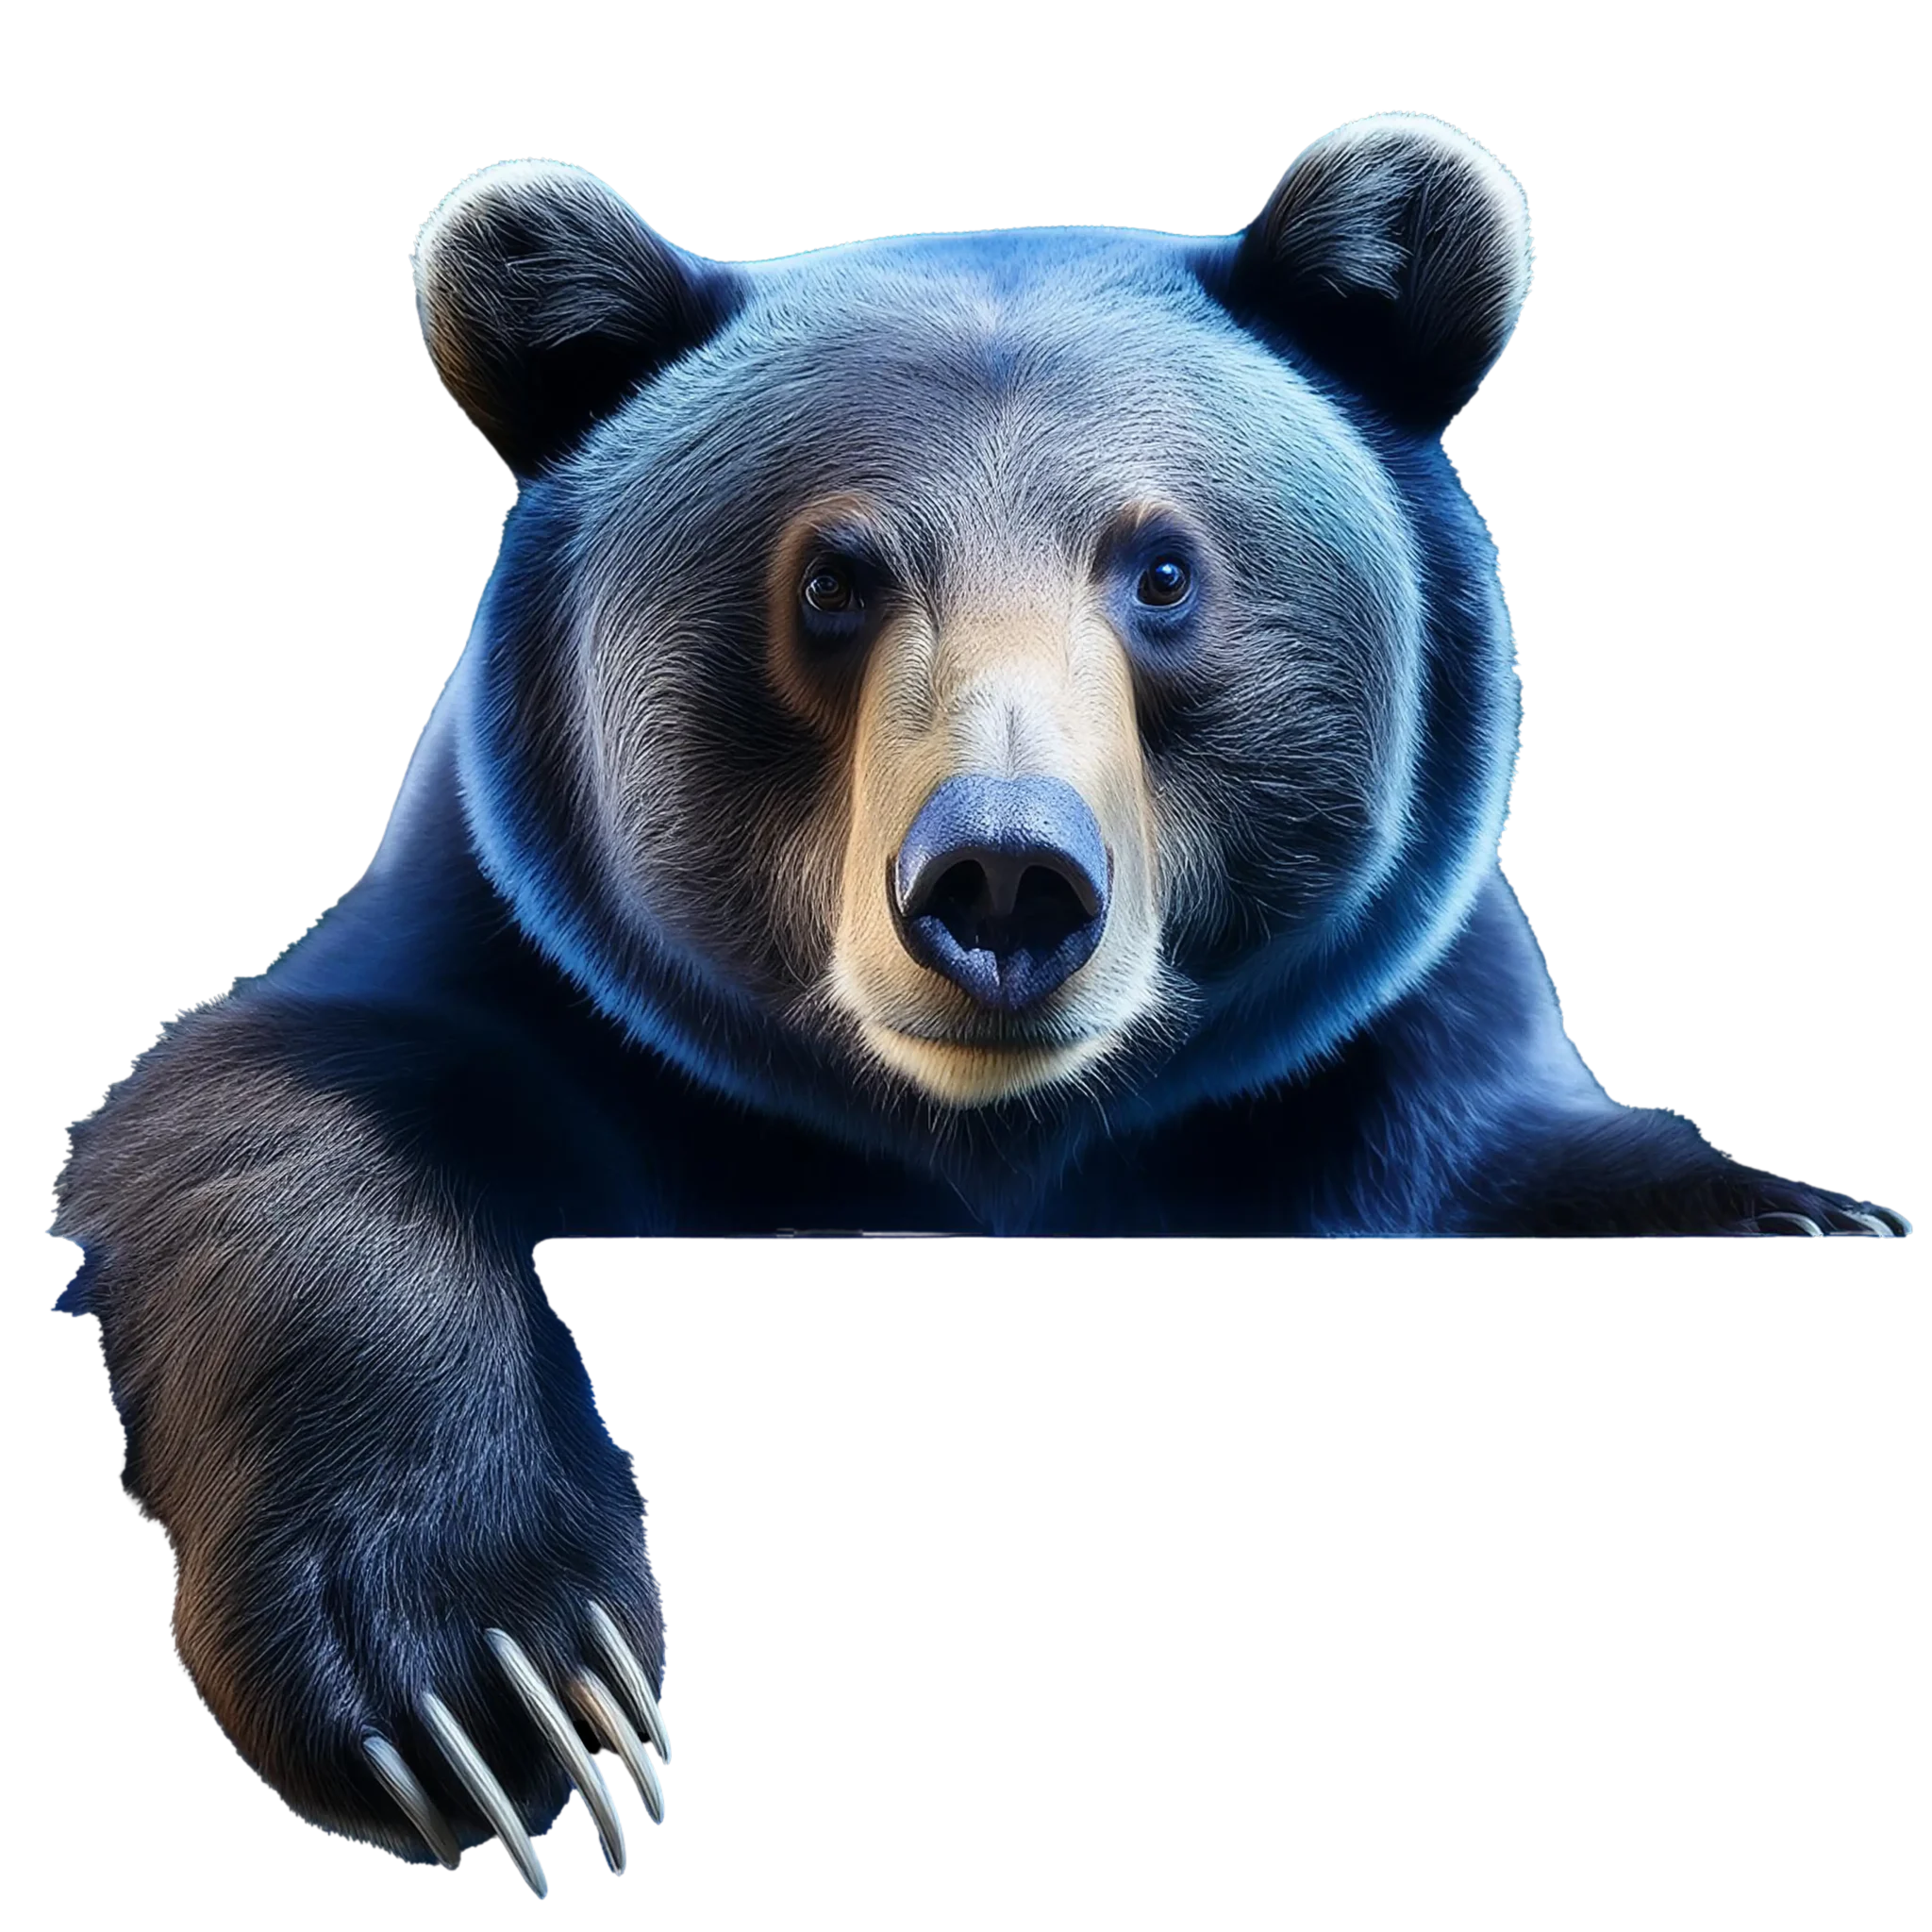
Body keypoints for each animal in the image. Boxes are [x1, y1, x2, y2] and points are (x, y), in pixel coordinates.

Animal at [49, 113, 1913, 1894]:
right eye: (834, 579)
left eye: (1160, 572)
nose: (1003, 880)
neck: (996, 1144)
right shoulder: (532, 975)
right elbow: (276, 1098)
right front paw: (493, 1675)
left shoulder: (1372, 1039)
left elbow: (1502, 1141)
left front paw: (1802, 1220)